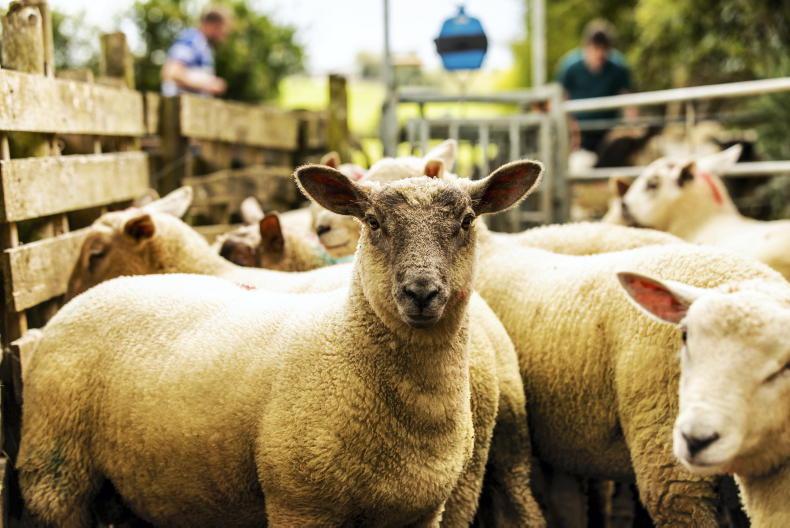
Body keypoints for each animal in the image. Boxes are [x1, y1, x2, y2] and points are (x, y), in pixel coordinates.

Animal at [20, 160, 545, 527]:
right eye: (373, 223)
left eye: (467, 221)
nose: (420, 292)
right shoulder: (302, 504)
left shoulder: (421, 511)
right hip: (54, 476)